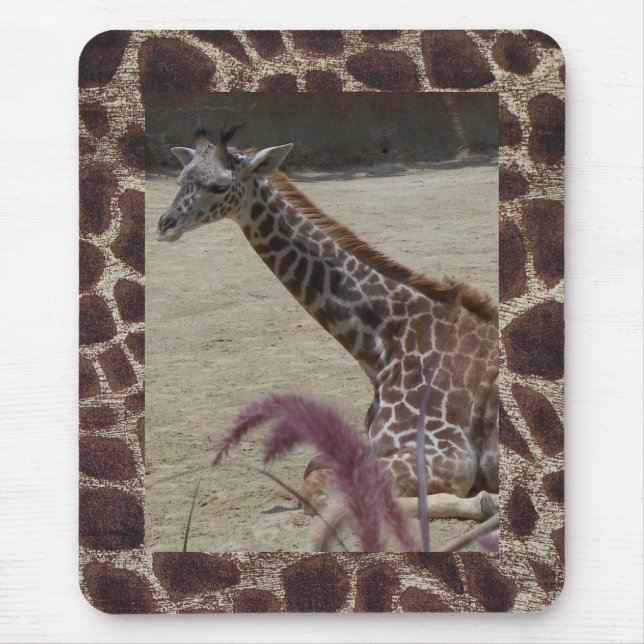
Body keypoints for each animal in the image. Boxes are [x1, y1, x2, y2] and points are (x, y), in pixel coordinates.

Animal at [156, 125, 499, 527]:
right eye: (181, 178)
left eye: (220, 185)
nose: (165, 225)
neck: (386, 344)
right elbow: (314, 472)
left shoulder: (448, 456)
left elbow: (321, 491)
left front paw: (482, 503)